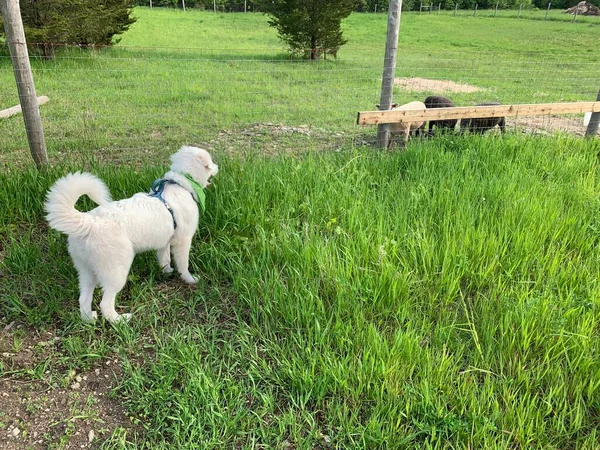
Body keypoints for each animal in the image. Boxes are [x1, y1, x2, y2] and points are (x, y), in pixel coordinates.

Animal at [45, 146, 218, 322]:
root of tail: (89, 222)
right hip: (116, 272)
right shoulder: (183, 241)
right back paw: (120, 320)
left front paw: (167, 271)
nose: (218, 167)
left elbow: (165, 259)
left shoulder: (164, 242)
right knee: (105, 304)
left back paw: (90, 320)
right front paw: (190, 279)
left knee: (84, 299)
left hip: (87, 272)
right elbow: (183, 265)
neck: (181, 185)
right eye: (211, 162)